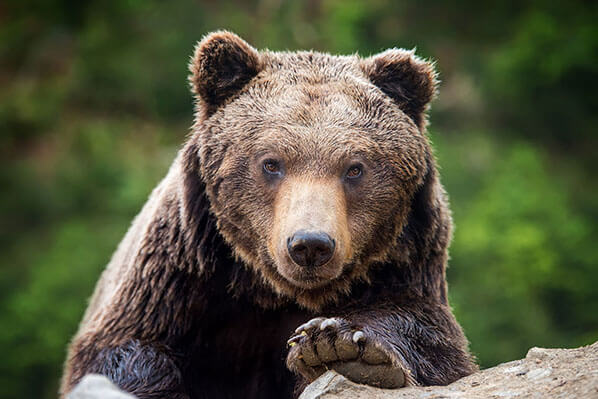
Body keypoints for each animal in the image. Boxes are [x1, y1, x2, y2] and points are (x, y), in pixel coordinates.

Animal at [59, 32, 478, 399]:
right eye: (271, 163)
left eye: (355, 168)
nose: (310, 245)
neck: (269, 292)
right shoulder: (179, 276)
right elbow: (120, 351)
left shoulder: (404, 264)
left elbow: (432, 340)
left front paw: (340, 347)